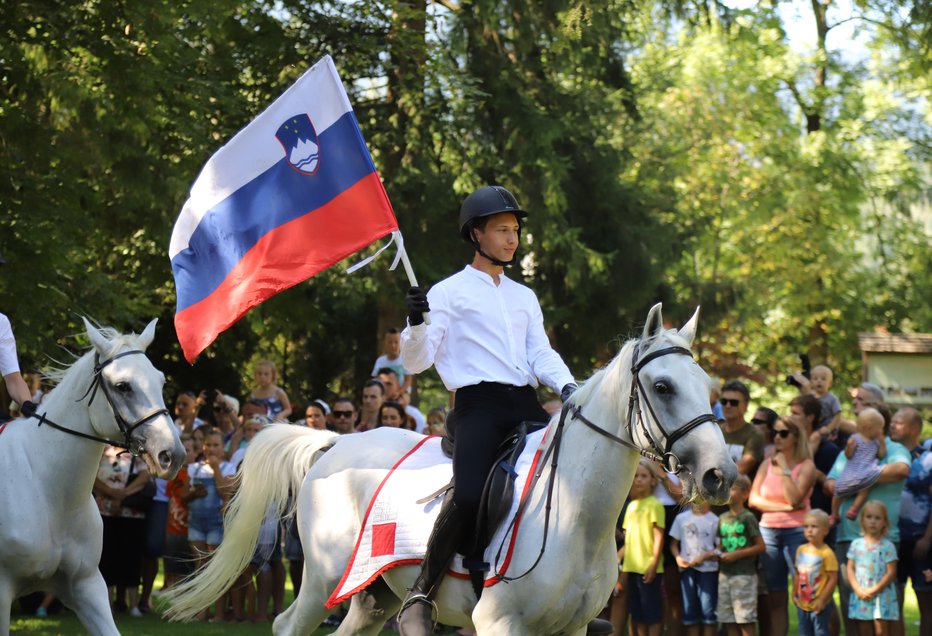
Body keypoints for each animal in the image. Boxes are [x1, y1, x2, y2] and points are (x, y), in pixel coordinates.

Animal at [0, 320, 184, 632]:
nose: (172, 455)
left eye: (161, 382)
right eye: (122, 386)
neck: (50, 495)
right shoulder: (2, 591)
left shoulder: (86, 585)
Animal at [166, 304, 736, 636]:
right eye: (662, 386)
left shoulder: (570, 630)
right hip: (322, 577)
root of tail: (335, 443)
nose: (720, 474)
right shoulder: (501, 624)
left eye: (707, 386)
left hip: (372, 595)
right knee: (288, 625)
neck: (574, 513)